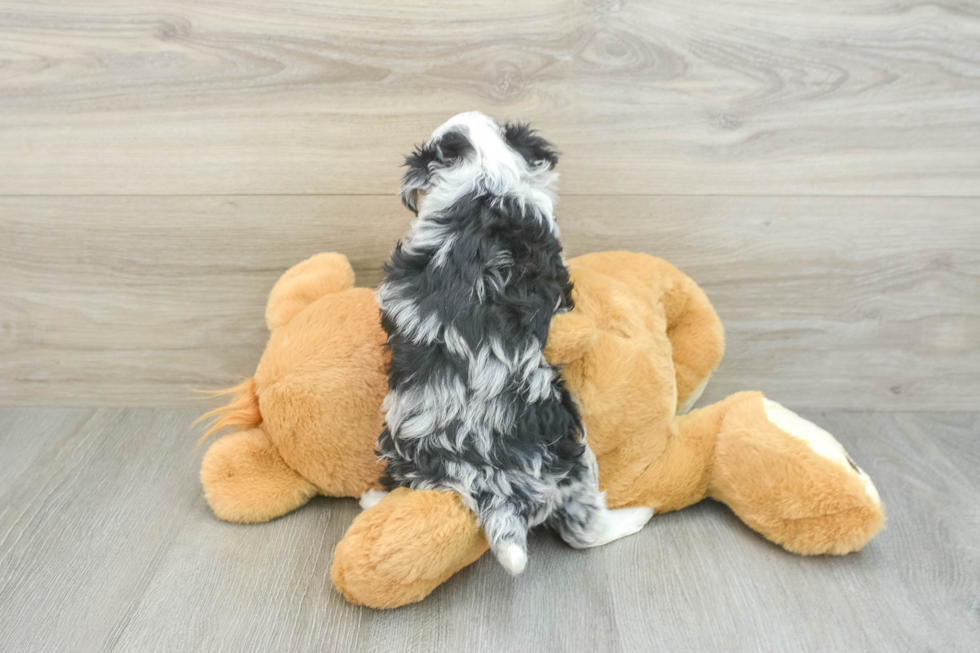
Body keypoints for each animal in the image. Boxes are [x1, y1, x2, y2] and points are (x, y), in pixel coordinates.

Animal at [368, 112, 652, 576]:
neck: (483, 181)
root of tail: (485, 480)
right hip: (573, 450)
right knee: (583, 529)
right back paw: (636, 516)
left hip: (400, 446)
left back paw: (371, 499)